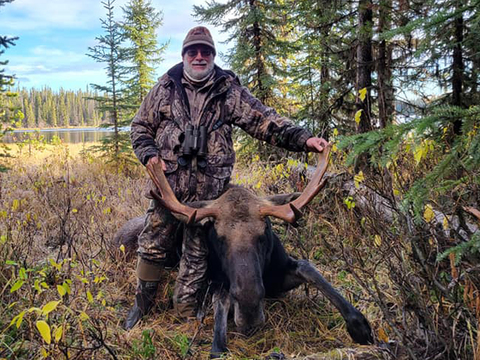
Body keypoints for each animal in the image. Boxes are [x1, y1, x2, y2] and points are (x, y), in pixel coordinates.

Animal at [117, 148, 376, 356]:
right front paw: (219, 343)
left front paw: (360, 326)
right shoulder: (217, 281)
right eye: (218, 238)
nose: (250, 307)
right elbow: (220, 306)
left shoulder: (279, 275)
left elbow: (309, 268)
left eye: (263, 233)